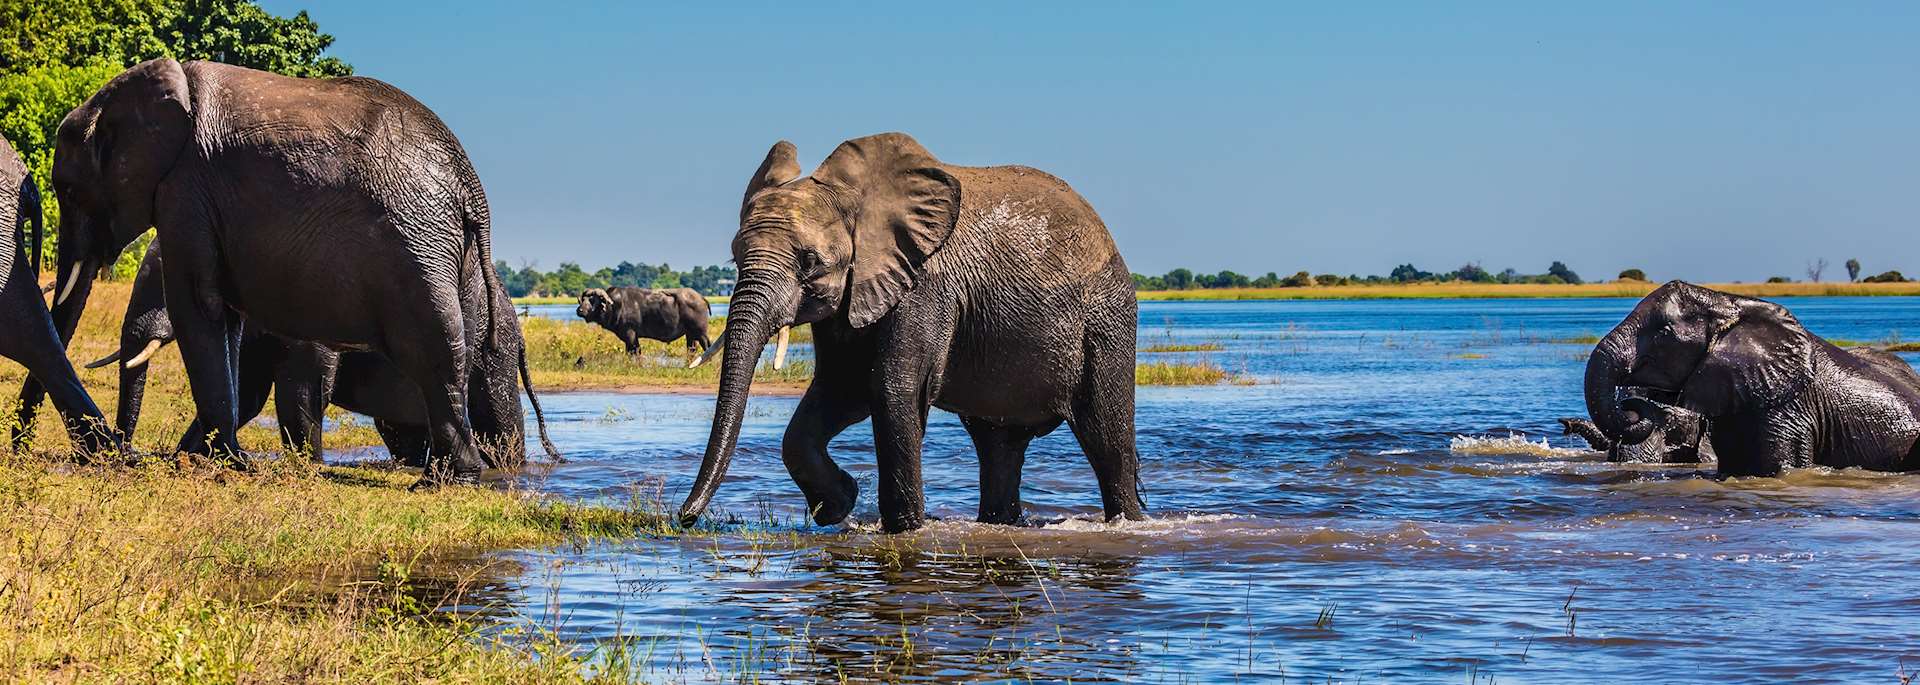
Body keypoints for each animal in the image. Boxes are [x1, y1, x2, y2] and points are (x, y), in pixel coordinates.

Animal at [24, 58, 508, 486]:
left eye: (68, 190)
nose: (121, 452)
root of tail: (472, 187)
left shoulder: (187, 191)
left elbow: (198, 304)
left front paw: (225, 463)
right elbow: (227, 325)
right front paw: (219, 460)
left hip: (417, 244)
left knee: (432, 352)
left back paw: (443, 481)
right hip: (448, 254)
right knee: (451, 353)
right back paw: (450, 477)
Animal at [87, 243, 559, 467]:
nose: (126, 453)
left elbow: (303, 387)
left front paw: (305, 468)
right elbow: (248, 395)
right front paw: (188, 458)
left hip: (490, 351)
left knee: (498, 423)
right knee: (403, 430)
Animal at [575, 286, 712, 356]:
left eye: (592, 300)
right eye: (583, 299)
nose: (579, 310)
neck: (615, 306)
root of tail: (701, 298)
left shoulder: (630, 335)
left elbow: (633, 352)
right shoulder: (632, 337)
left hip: (701, 333)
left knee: (707, 346)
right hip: (690, 335)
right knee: (691, 350)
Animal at [678, 132, 1146, 533]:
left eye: (809, 262)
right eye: (735, 257)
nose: (684, 518)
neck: (857, 200)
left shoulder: (926, 285)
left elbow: (890, 388)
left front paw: (903, 530)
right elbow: (839, 389)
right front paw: (839, 505)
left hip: (1106, 318)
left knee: (1107, 438)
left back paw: (1128, 523)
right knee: (998, 447)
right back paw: (1000, 525)